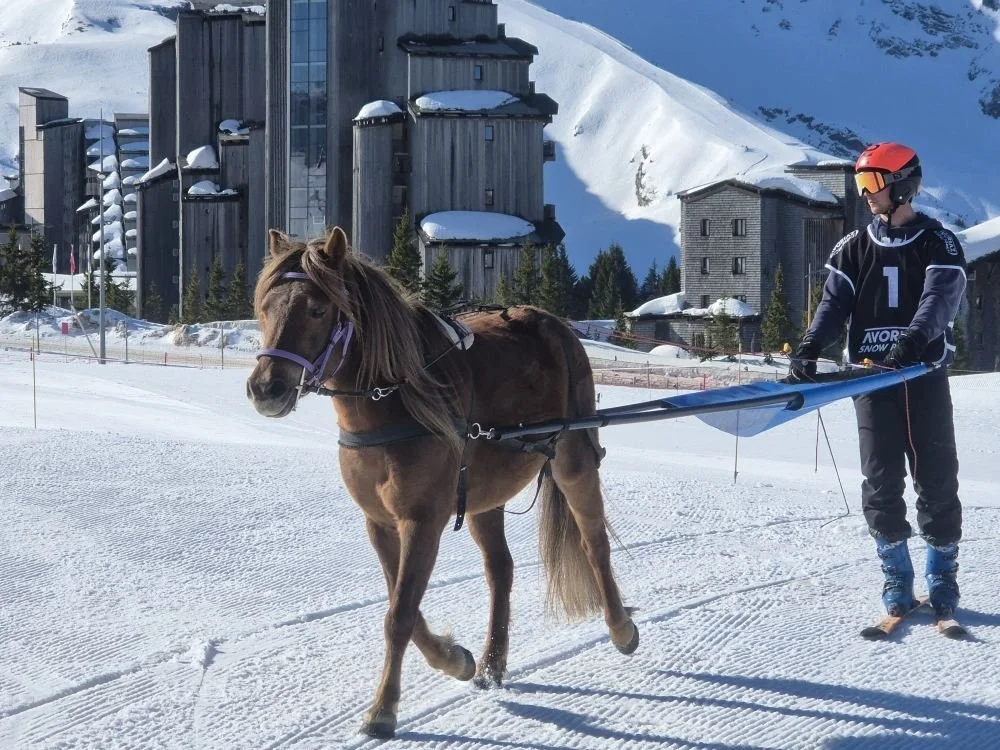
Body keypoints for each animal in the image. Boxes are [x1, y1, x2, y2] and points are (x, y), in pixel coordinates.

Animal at [246, 226, 638, 738]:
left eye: (317, 309)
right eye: (264, 307)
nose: (266, 389)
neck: (394, 402)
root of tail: (556, 325)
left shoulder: (422, 520)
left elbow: (399, 614)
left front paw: (383, 709)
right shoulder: (380, 523)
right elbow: (405, 610)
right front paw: (457, 660)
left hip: (574, 462)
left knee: (594, 545)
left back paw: (621, 628)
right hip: (483, 497)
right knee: (501, 569)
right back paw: (492, 662)